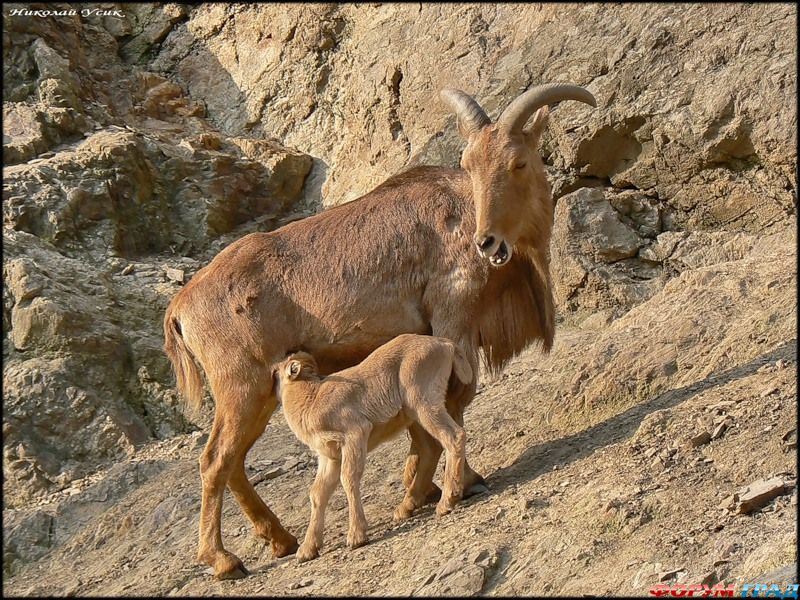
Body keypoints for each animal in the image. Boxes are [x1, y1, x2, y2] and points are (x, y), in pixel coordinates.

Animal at [276, 332, 476, 564]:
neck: (311, 401)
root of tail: (446, 345)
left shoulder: (355, 434)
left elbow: (349, 479)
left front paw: (356, 537)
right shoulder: (330, 457)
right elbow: (318, 493)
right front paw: (307, 550)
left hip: (423, 403)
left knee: (453, 437)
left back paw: (446, 502)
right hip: (416, 414)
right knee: (432, 448)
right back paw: (406, 508)